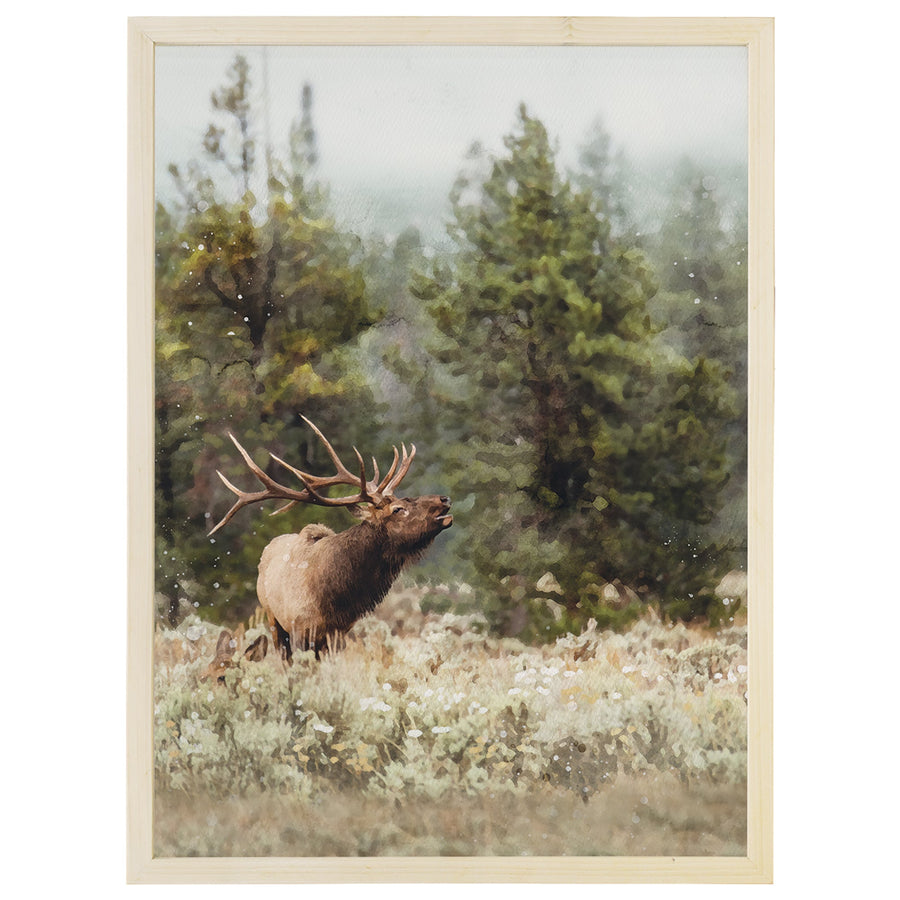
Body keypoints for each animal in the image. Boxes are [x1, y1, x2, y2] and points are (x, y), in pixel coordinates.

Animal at [207, 417, 453, 663]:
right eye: (398, 509)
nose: (444, 499)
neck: (332, 597)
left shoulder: (339, 632)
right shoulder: (300, 629)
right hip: (272, 617)